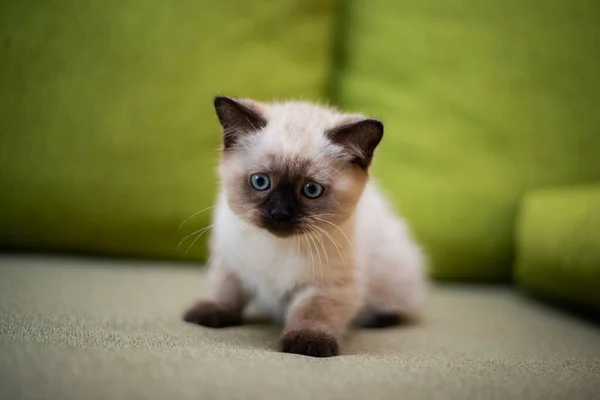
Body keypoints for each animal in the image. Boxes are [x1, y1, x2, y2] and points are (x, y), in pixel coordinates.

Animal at [183, 96, 426, 356]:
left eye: (311, 189)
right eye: (260, 182)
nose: (280, 213)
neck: (278, 247)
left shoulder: (327, 286)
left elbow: (312, 311)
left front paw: (308, 343)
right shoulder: (230, 262)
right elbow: (225, 291)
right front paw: (208, 314)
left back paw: (374, 318)